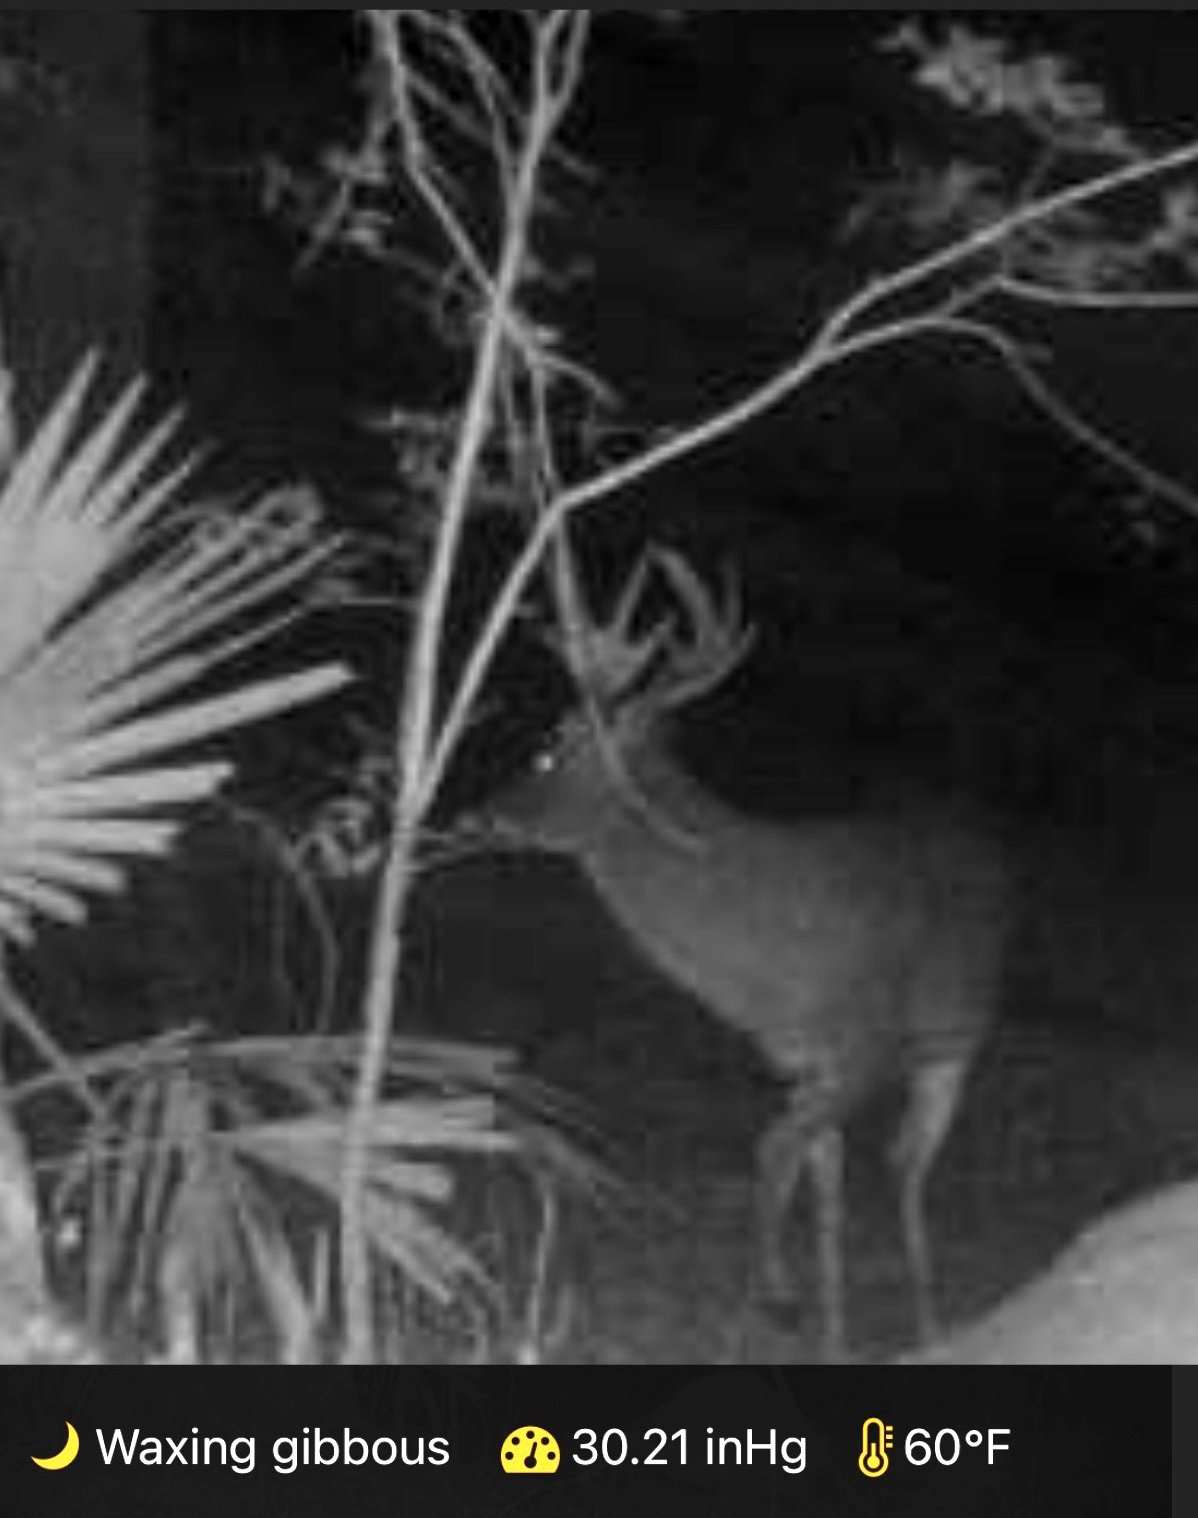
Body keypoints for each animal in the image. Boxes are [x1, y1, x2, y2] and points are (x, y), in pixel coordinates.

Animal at [470, 549, 1002, 1366]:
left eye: (549, 747)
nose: (484, 811)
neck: (769, 967)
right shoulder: (796, 1060)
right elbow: (813, 1177)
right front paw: (821, 1328)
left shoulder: (869, 1040)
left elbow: (770, 1149)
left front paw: (773, 1295)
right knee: (866, 1169)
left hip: (957, 1040)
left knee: (908, 1166)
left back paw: (929, 1322)